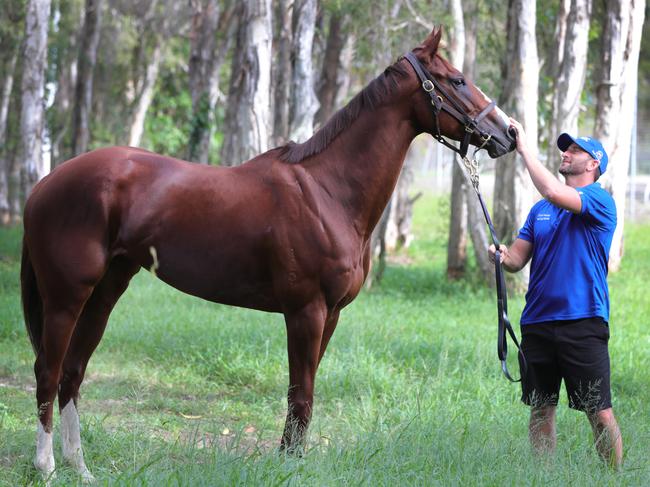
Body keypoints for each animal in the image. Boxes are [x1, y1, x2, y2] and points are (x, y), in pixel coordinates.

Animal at [21, 28, 512, 482]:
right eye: (458, 79)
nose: (508, 132)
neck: (328, 191)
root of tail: (44, 184)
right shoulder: (305, 311)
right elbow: (301, 394)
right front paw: (289, 465)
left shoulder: (330, 315)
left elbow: (304, 391)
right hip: (66, 297)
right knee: (49, 370)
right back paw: (47, 467)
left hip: (106, 291)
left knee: (73, 373)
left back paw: (80, 467)